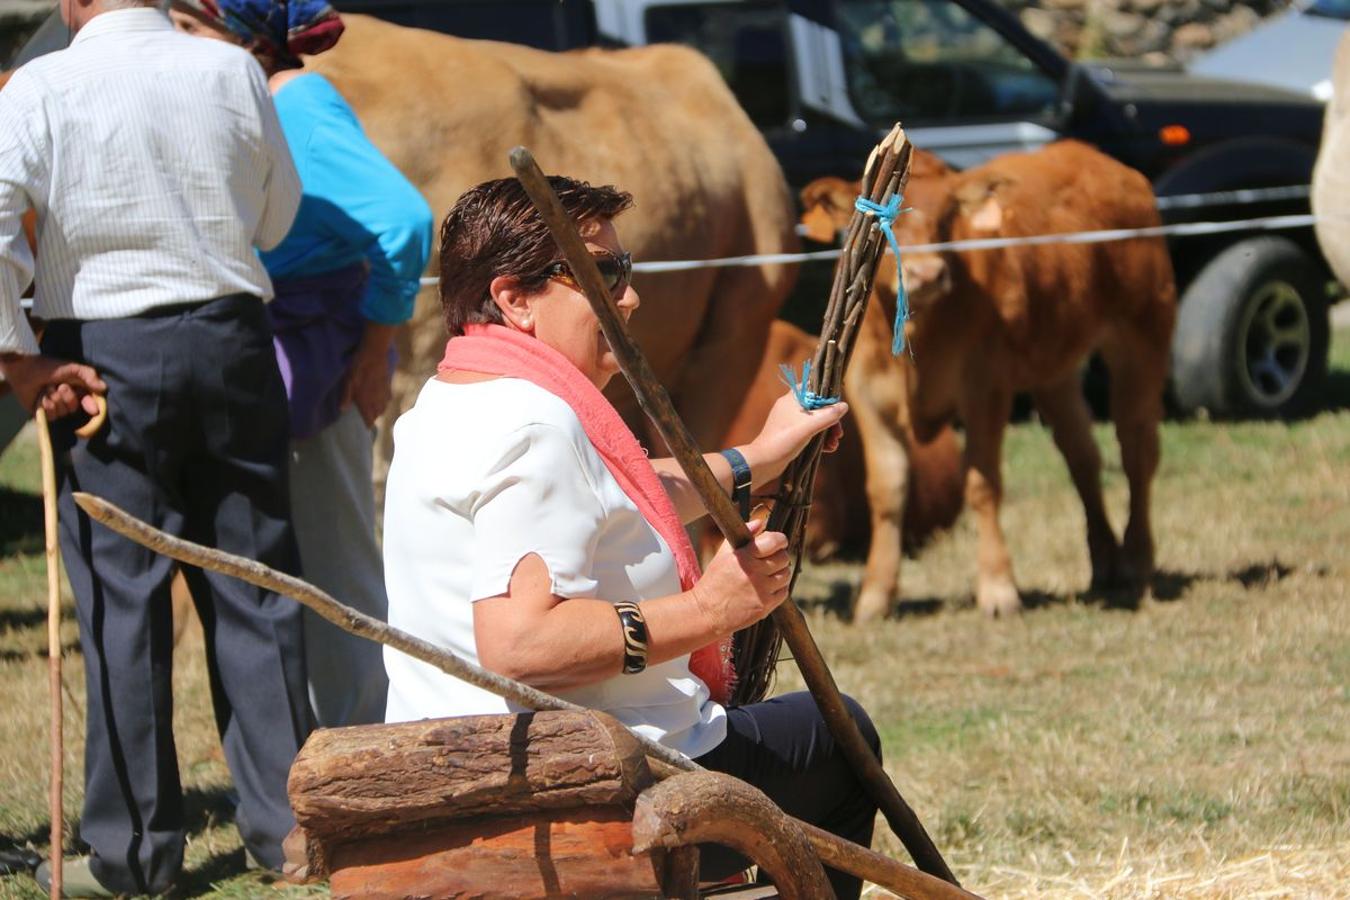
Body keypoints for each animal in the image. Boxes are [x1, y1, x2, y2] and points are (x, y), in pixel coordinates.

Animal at [804, 142, 1177, 620]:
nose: (929, 274)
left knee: (1137, 451)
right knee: (1082, 457)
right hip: (1055, 371)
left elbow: (982, 485)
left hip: (1142, 334)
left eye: (948, 214)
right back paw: (1106, 562)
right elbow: (887, 492)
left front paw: (998, 588)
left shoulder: (985, 387)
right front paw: (875, 595)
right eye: (888, 221)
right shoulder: (868, 397)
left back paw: (1138, 561)